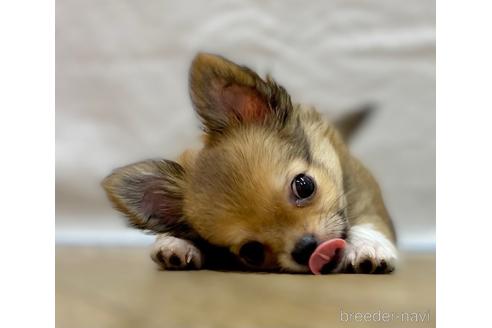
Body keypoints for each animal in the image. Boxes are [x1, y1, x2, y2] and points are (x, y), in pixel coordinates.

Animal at [102, 53, 398, 274]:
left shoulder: (361, 186)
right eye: (252, 252)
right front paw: (175, 242)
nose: (305, 248)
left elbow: (370, 218)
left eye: (304, 185)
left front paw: (367, 246)